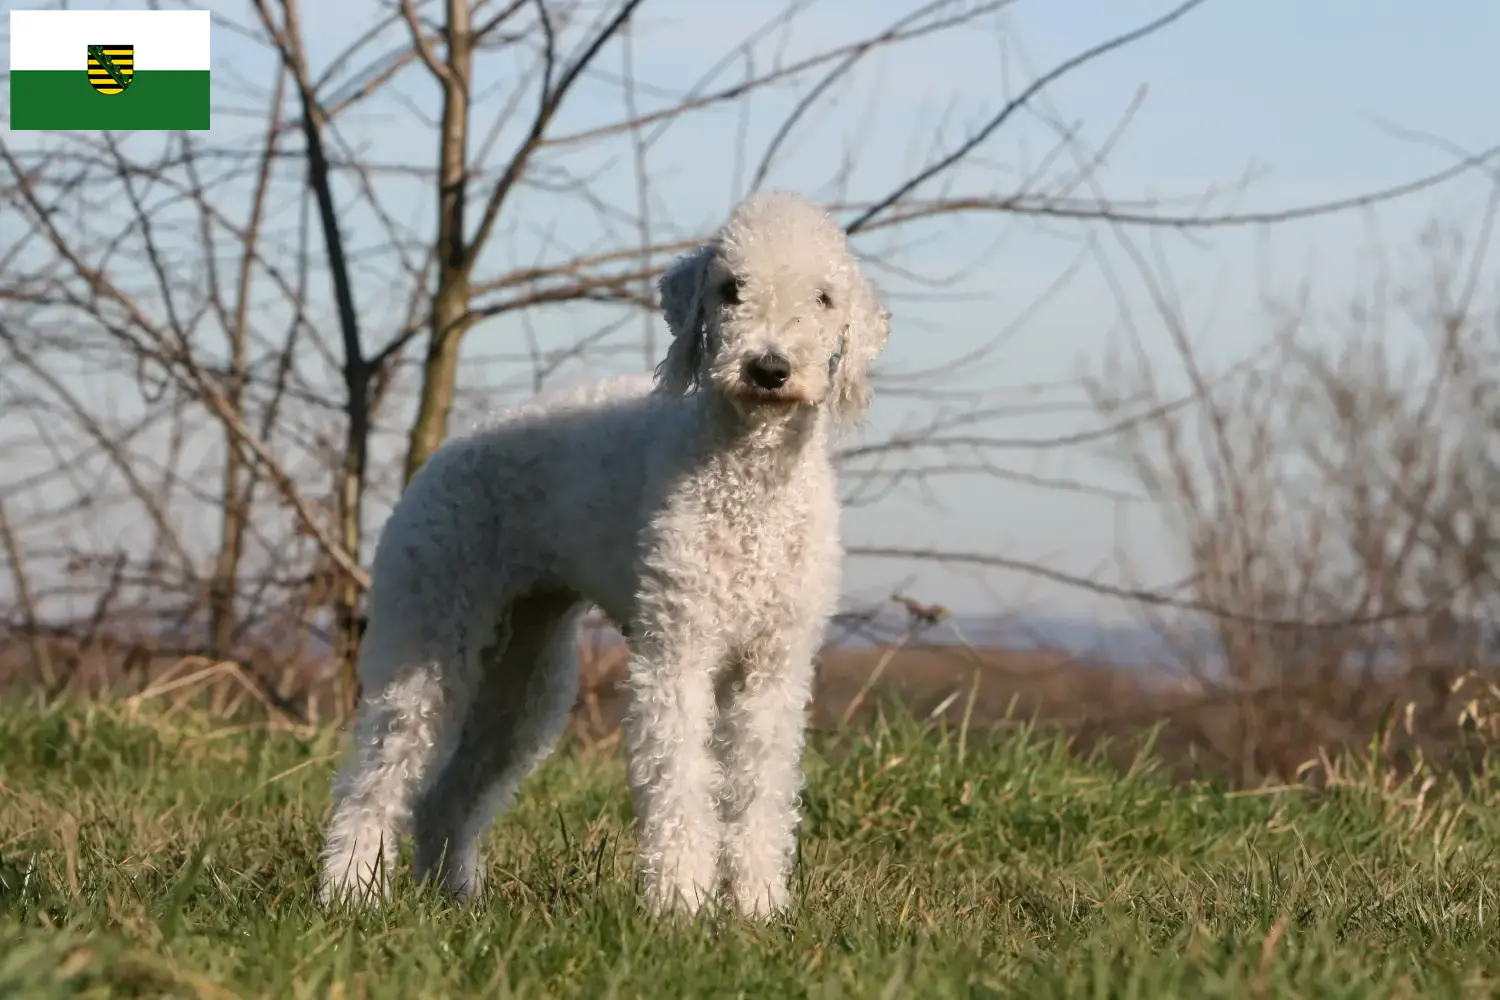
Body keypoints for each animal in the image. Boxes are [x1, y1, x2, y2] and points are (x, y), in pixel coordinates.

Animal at [313, 191, 876, 917]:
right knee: (376, 778)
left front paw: (758, 909)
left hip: (525, 674)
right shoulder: (676, 653)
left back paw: (458, 900)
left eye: (825, 298)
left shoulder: (774, 668)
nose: (769, 369)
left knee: (446, 797)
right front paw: (681, 906)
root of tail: (440, 459)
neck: (749, 479)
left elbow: (761, 795)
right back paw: (350, 891)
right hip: (429, 632)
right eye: (731, 289)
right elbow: (680, 782)